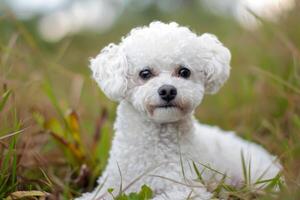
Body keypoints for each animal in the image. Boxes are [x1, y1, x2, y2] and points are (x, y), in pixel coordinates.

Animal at [77, 21, 282, 199]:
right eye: (145, 73)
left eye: (184, 72)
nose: (168, 90)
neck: (154, 147)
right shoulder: (110, 184)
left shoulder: (186, 188)